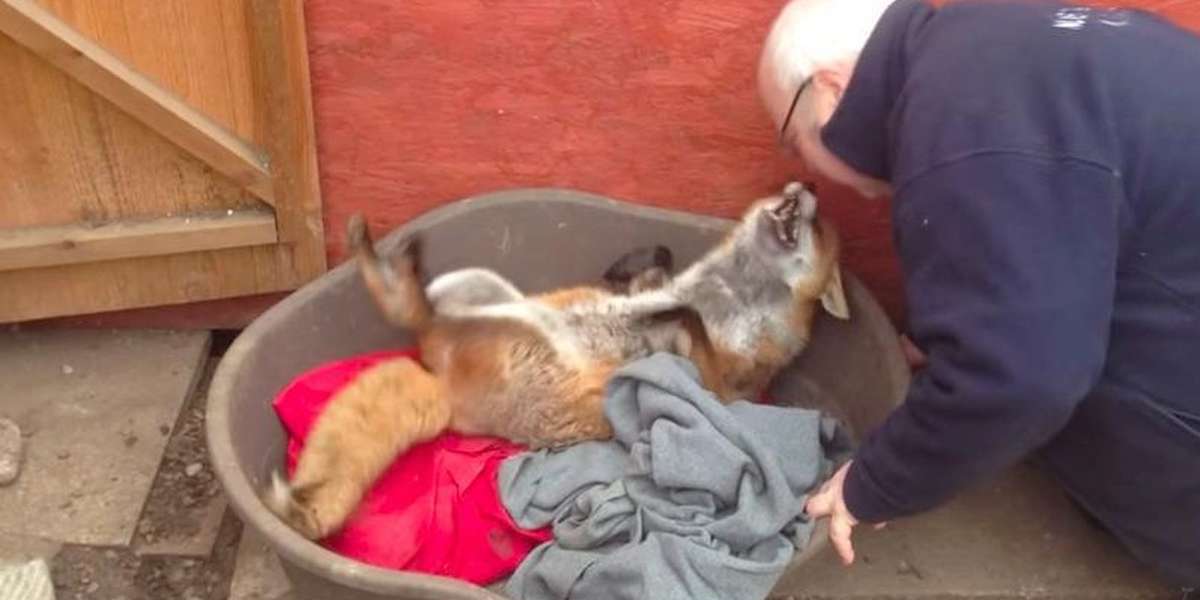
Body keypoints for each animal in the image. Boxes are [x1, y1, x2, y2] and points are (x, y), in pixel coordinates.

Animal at [265, 182, 850, 541]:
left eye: (821, 230)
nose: (809, 184)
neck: (728, 292)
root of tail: (442, 383)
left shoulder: (718, 384)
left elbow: (686, 326)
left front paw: (661, 313)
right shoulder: (659, 289)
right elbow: (654, 272)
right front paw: (646, 287)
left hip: (498, 323)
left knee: (412, 312)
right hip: (481, 289)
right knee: (415, 310)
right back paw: (383, 261)